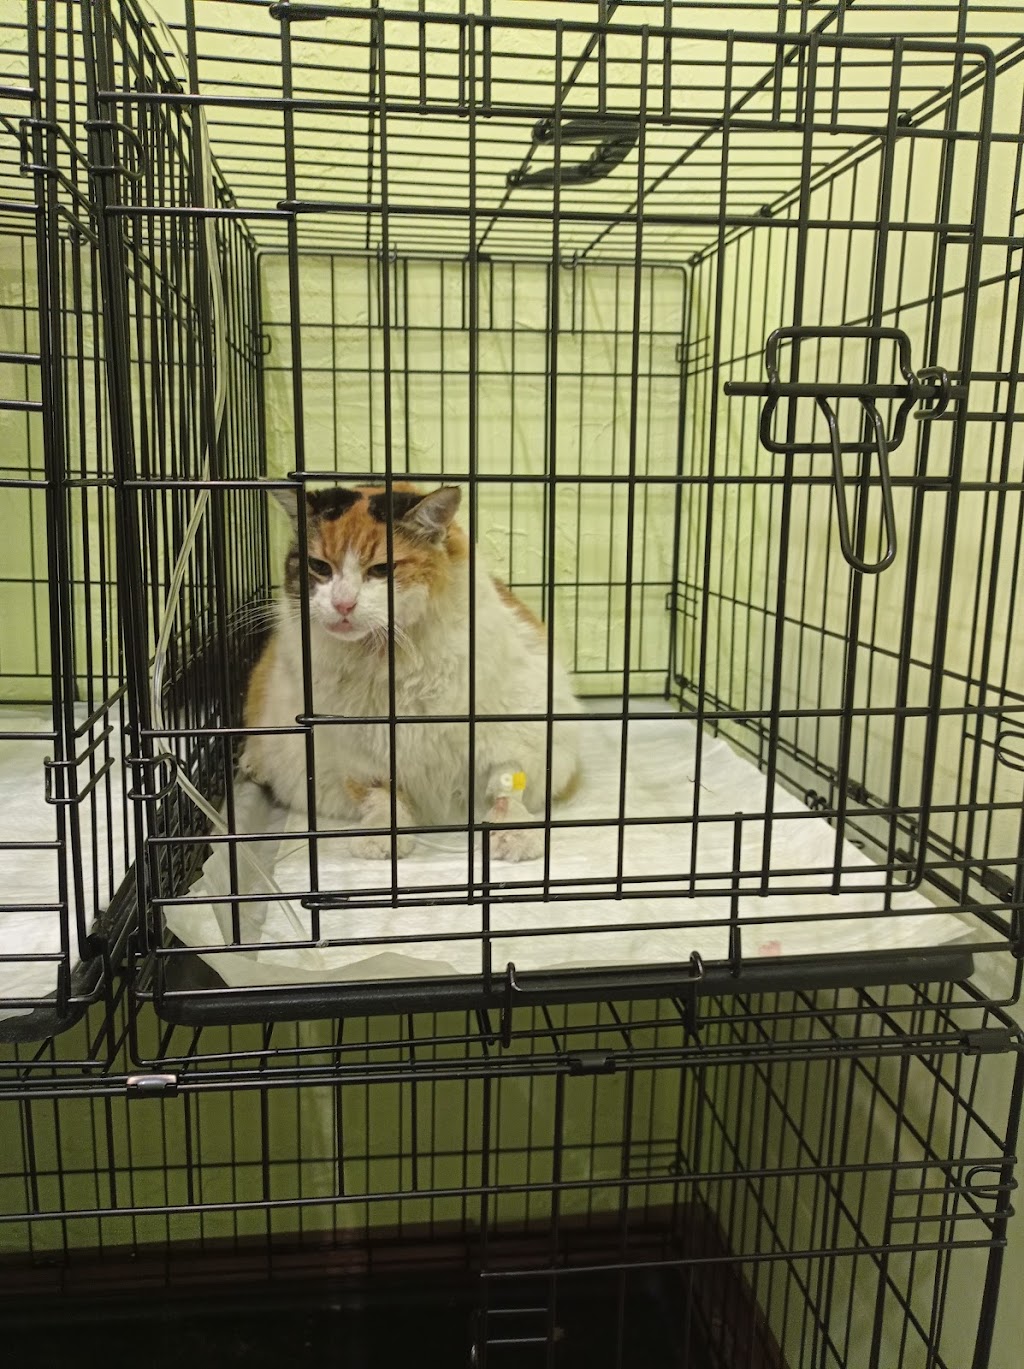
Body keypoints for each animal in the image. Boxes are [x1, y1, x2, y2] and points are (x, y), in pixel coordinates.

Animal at [239, 482, 581, 862]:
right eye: (319, 566)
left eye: (381, 569)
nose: (343, 604)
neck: (388, 656)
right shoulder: (360, 757)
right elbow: (380, 794)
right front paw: (381, 835)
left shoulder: (530, 727)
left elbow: (508, 781)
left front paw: (513, 832)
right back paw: (253, 764)